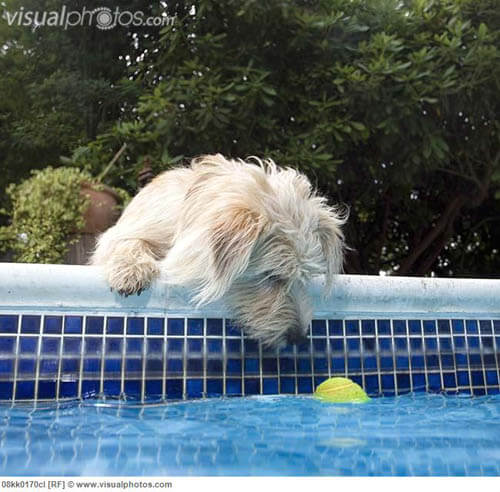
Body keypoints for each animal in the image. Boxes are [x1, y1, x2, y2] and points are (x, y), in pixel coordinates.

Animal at [92, 154, 346, 346]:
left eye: (304, 278)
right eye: (271, 275)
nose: (299, 339)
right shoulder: (127, 231)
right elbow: (128, 241)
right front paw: (130, 270)